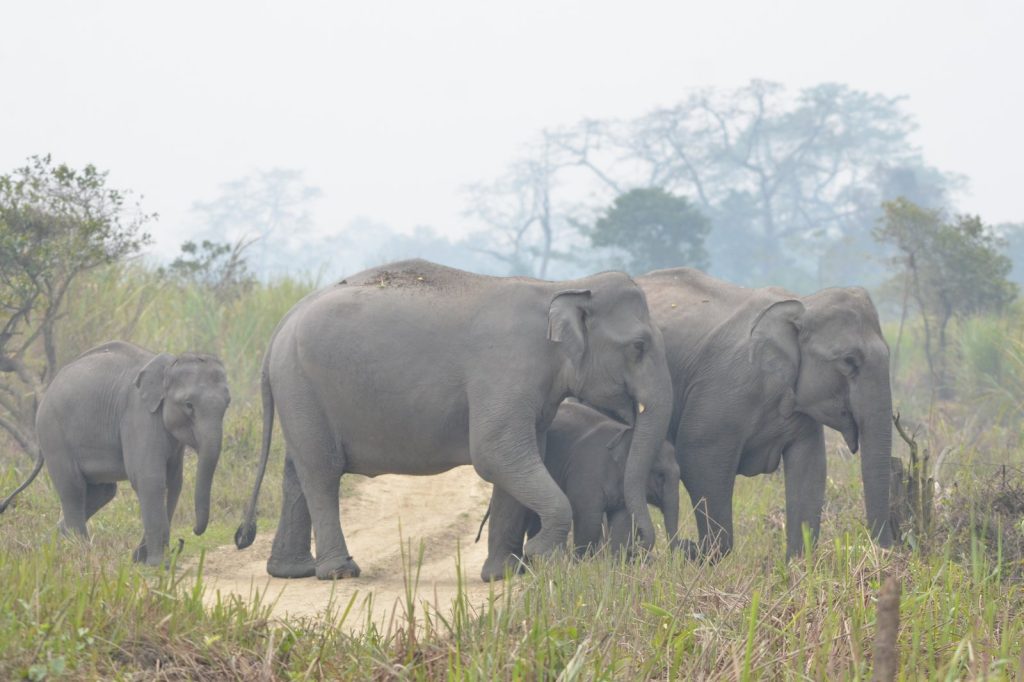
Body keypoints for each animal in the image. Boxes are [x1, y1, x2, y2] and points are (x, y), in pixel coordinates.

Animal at [0, 341, 230, 566]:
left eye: (227, 404)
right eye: (188, 405)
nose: (192, 532)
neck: (169, 365)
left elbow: (174, 482)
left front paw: (143, 560)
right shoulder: (138, 416)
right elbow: (150, 479)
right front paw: (157, 565)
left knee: (101, 493)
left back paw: (43, 548)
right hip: (54, 435)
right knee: (73, 489)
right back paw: (80, 555)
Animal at [508, 400, 681, 558]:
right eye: (660, 474)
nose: (635, 549)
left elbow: (621, 523)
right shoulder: (586, 473)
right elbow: (588, 520)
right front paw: (583, 563)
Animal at [636, 268, 893, 559]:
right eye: (849, 361)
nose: (882, 552)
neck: (801, 303)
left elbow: (810, 469)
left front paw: (798, 563)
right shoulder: (723, 390)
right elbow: (698, 460)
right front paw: (697, 552)